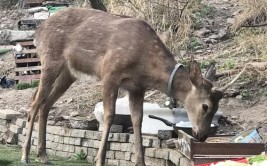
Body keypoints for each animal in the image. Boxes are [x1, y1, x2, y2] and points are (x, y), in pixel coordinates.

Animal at [21, 7, 247, 165]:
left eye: (217, 108)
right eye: (205, 106)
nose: (202, 135)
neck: (145, 65)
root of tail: (37, 32)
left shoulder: (137, 87)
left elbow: (137, 120)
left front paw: (141, 161)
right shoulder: (110, 73)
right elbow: (110, 116)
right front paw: (99, 160)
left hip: (69, 73)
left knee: (45, 103)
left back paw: (43, 155)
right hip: (50, 59)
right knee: (34, 102)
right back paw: (25, 155)